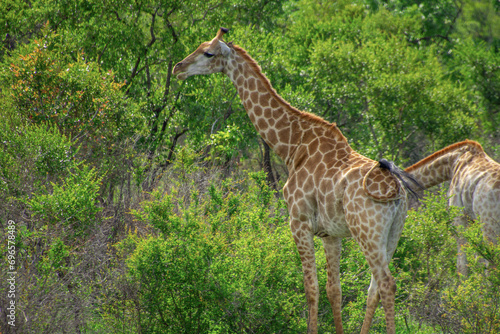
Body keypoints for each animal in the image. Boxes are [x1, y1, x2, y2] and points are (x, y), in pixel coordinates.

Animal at [174, 27, 420, 332]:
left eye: (208, 53)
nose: (178, 68)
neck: (292, 146)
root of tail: (397, 192)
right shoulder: (330, 234)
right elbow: (334, 291)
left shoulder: (298, 222)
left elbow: (310, 288)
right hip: (393, 234)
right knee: (374, 288)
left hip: (367, 232)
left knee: (387, 284)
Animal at [406, 139, 500, 276]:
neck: (451, 163)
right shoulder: (473, 219)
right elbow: (477, 259)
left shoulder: (459, 216)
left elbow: (462, 263)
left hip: (489, 224)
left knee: (493, 265)